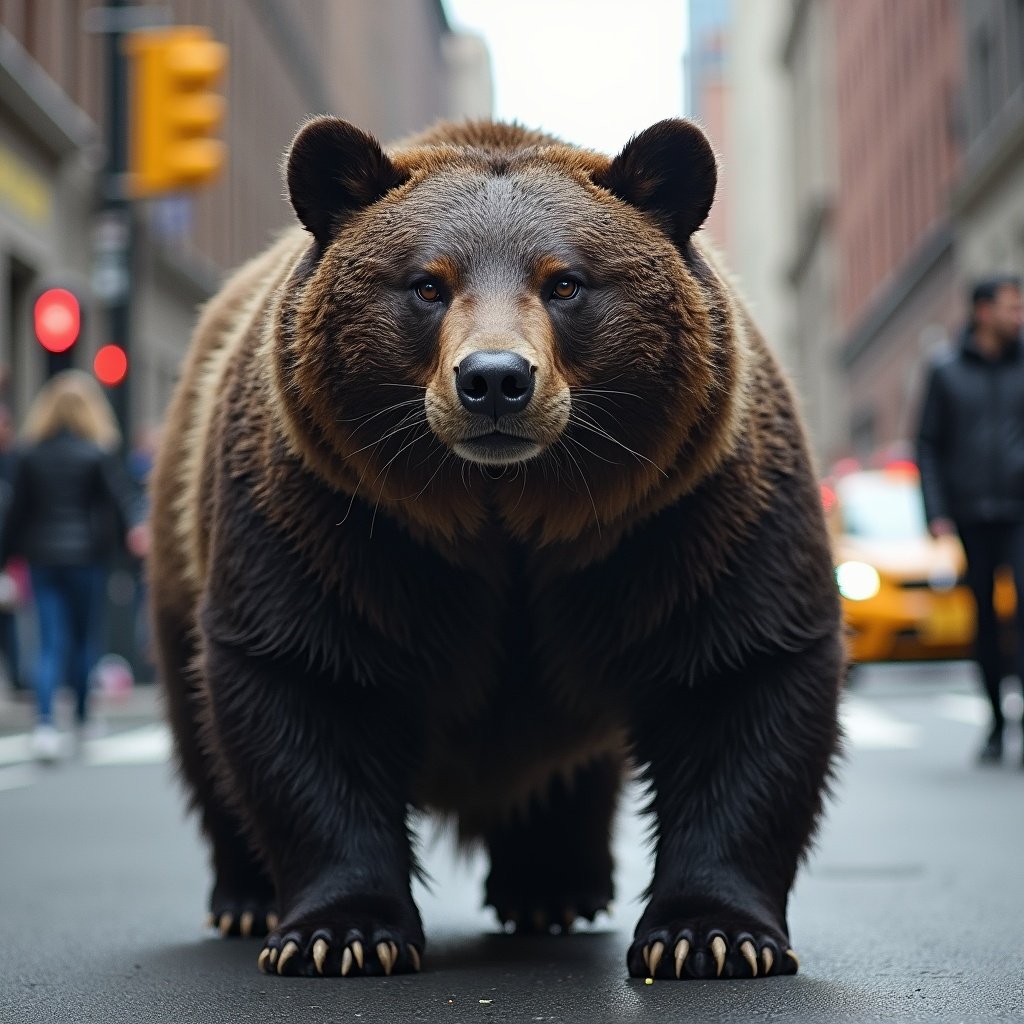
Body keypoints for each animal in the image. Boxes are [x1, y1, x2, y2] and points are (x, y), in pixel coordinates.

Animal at [149, 114, 839, 983]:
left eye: (565, 282)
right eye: (427, 284)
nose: (495, 380)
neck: (508, 513)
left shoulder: (688, 518)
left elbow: (738, 678)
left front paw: (709, 936)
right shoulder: (326, 521)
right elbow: (307, 687)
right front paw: (340, 934)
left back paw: (552, 886)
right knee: (200, 729)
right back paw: (246, 900)